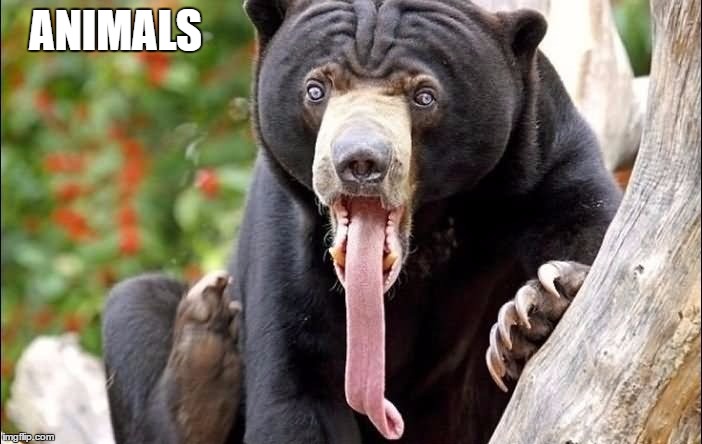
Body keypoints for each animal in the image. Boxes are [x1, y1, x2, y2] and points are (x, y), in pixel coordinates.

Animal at [101, 1, 622, 443]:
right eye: (316, 89)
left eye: (424, 96)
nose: (359, 162)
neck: (429, 230)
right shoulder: (288, 232)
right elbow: (297, 385)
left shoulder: (545, 160)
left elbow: (590, 236)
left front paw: (534, 312)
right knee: (135, 305)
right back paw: (203, 356)